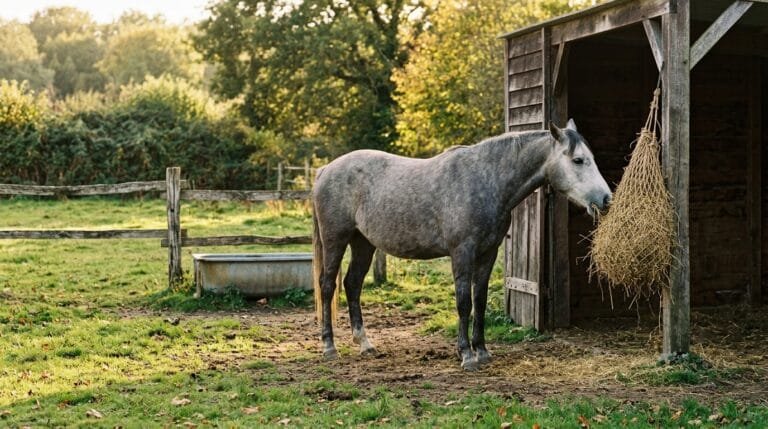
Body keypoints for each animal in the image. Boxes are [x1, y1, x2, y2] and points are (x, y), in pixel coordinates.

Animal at [311, 119, 611, 370]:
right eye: (578, 160)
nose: (606, 199)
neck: (486, 180)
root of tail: (325, 170)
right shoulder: (462, 253)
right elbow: (464, 302)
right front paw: (466, 354)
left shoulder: (488, 253)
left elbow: (480, 300)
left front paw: (482, 351)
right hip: (335, 240)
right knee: (328, 286)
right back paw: (329, 347)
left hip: (363, 243)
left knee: (352, 284)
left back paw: (365, 344)